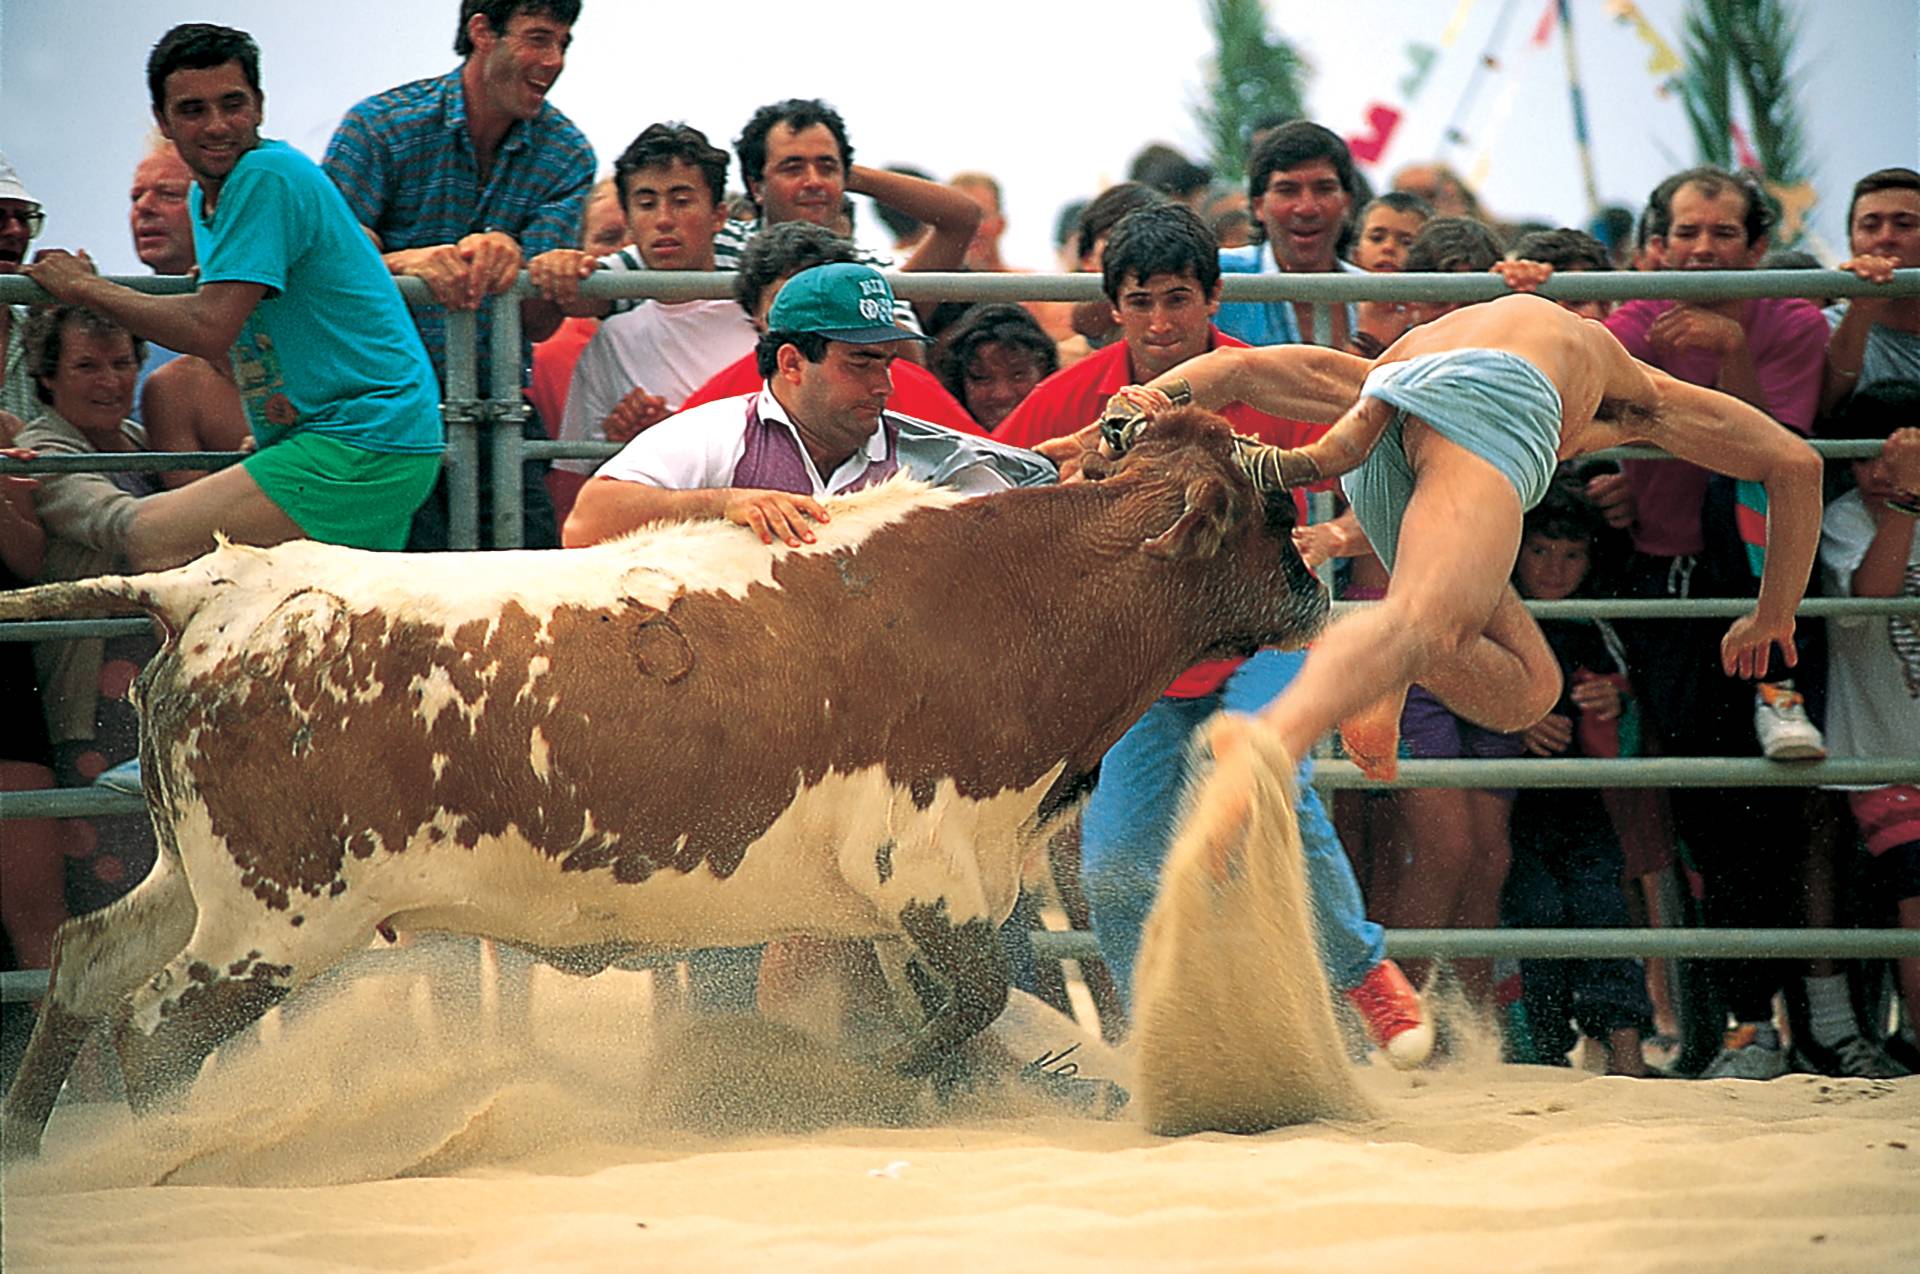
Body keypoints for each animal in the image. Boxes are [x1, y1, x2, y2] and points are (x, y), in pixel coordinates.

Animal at [0, 410, 1328, 1151]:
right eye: (1274, 510)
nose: (1322, 582)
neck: (1013, 591)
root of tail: (208, 587)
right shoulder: (930, 870)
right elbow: (963, 1009)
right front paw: (825, 1089)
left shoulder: (919, 899)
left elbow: (956, 1020)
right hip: (272, 920)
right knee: (152, 1026)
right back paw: (178, 1150)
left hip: (193, 882)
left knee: (84, 961)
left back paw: (33, 1145)